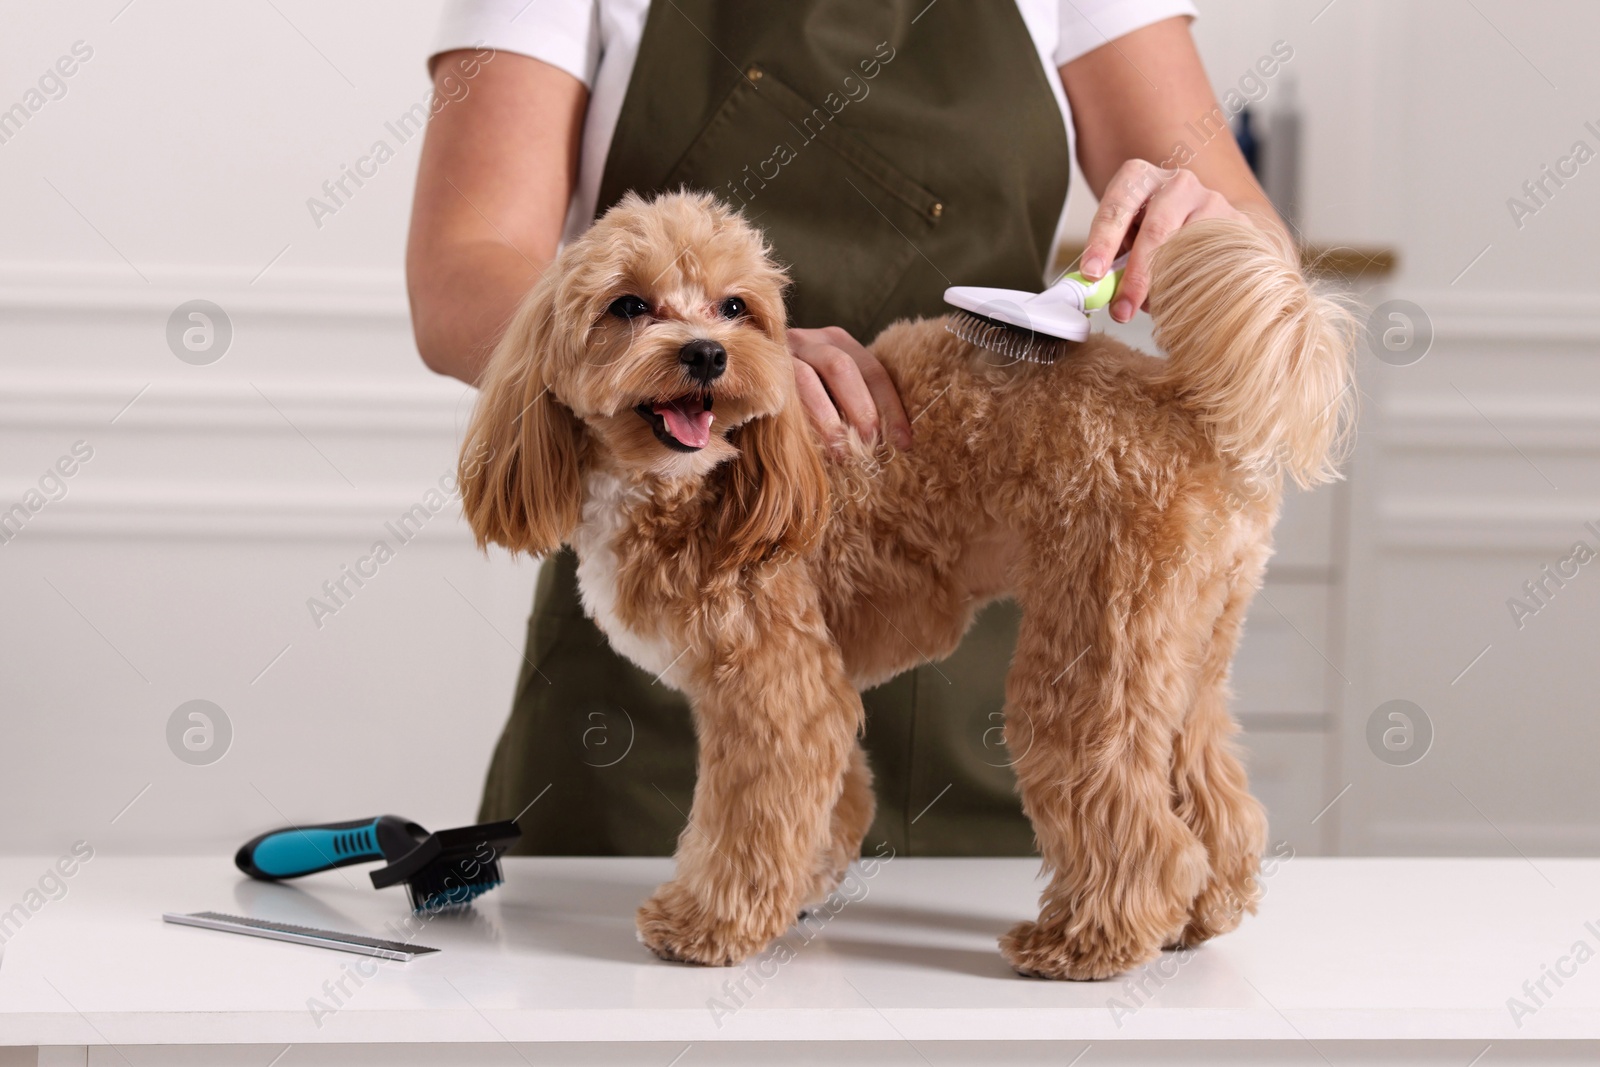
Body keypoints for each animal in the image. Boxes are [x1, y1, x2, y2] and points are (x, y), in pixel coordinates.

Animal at [464, 189, 1350, 979]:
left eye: (733, 306)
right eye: (628, 305)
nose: (707, 354)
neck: (711, 480)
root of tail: (1193, 415)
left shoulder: (775, 688)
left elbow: (748, 818)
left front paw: (708, 924)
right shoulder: (813, 684)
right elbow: (830, 799)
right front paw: (800, 887)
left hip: (1091, 651)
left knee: (1137, 820)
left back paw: (1086, 942)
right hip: (1184, 651)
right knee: (1213, 796)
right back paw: (1199, 914)